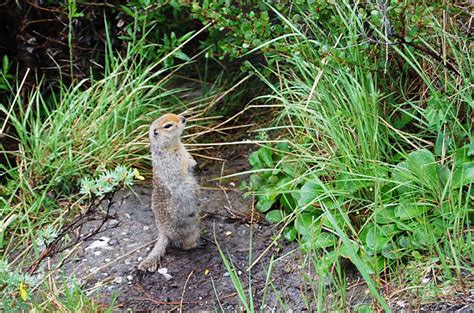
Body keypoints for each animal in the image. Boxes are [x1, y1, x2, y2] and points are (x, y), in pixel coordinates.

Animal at [139, 113, 202, 272]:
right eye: (167, 125)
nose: (184, 118)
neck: (174, 145)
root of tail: (163, 233)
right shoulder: (174, 159)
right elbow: (184, 165)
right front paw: (192, 164)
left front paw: (194, 162)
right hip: (191, 230)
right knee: (186, 245)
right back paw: (198, 244)